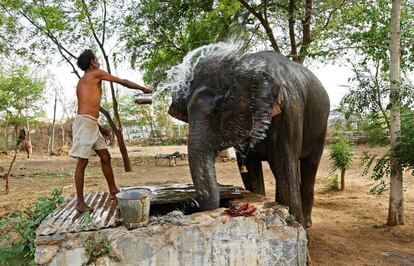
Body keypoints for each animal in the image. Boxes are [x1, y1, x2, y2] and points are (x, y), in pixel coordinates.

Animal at [165, 45, 330, 227]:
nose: (191, 206)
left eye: (220, 108)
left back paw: (307, 223)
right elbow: (250, 169)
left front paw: (296, 224)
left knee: (309, 165)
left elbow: (285, 166)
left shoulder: (290, 112)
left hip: (322, 127)